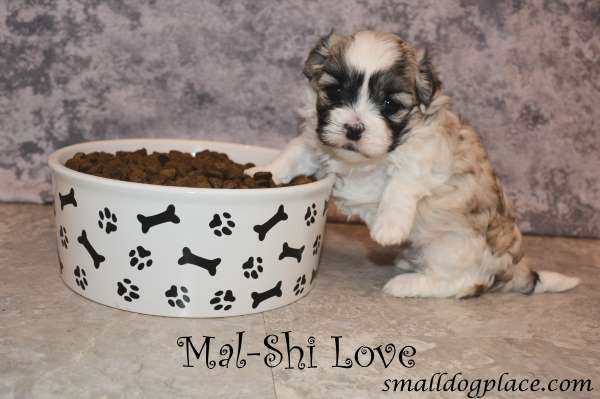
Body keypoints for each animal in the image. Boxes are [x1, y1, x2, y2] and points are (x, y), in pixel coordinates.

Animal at [246, 31, 580, 298]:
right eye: (336, 91)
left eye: (389, 104)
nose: (353, 129)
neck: (362, 160)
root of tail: (517, 267)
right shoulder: (316, 143)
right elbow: (293, 153)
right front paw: (261, 173)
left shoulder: (426, 154)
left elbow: (402, 182)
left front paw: (389, 228)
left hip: (453, 248)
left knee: (462, 283)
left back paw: (407, 284)